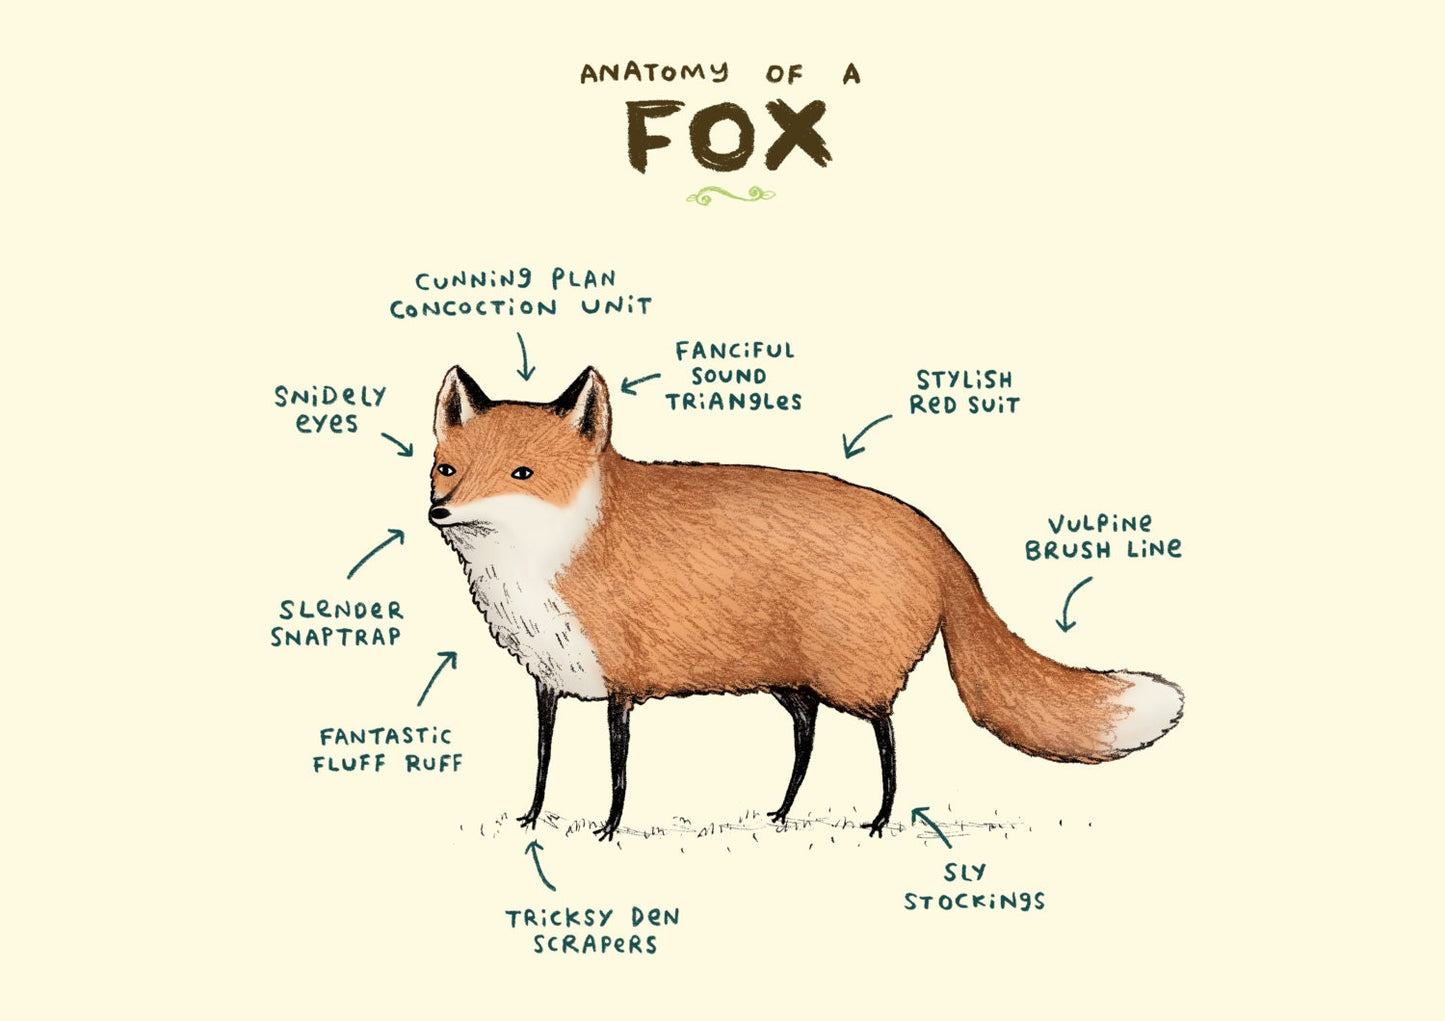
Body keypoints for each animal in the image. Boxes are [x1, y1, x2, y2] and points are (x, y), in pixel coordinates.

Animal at [429, 365, 1183, 840]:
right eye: (448, 469)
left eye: (522, 473)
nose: (439, 510)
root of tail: (932, 532)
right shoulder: (549, 680)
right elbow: (542, 761)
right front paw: (532, 820)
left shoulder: (621, 684)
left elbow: (616, 772)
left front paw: (609, 830)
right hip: (795, 684)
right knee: (806, 740)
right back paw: (783, 814)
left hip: (854, 681)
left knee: (887, 737)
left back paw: (880, 820)